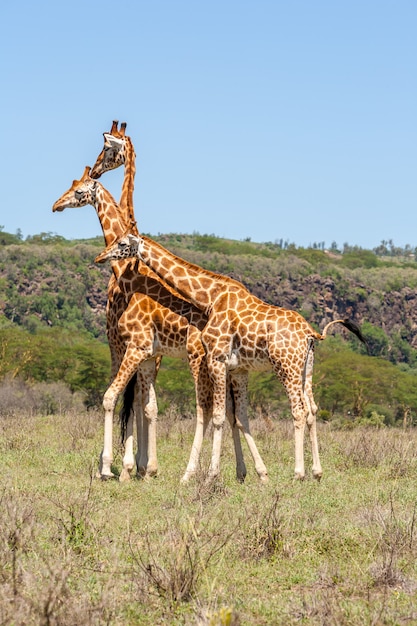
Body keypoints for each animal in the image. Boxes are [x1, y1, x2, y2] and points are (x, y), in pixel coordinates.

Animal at [52, 163, 254, 480]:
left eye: (79, 190)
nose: (56, 205)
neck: (126, 274)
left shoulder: (129, 346)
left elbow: (118, 398)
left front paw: (115, 467)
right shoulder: (147, 353)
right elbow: (146, 405)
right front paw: (141, 467)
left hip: (199, 358)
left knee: (206, 409)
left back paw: (196, 472)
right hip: (228, 365)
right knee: (234, 411)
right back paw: (244, 471)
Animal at [95, 232, 368, 480]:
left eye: (122, 243)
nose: (100, 256)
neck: (210, 296)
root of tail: (311, 333)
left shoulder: (216, 358)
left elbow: (216, 416)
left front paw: (211, 474)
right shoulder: (237, 368)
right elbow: (236, 416)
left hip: (286, 367)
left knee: (298, 411)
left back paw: (298, 473)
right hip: (305, 370)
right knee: (311, 409)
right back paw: (316, 472)